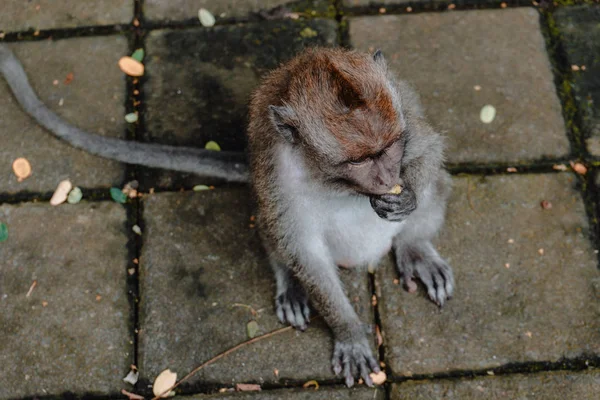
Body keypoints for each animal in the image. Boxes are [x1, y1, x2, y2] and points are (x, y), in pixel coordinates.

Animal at [0, 43, 452, 388]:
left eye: (390, 146)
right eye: (358, 160)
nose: (389, 177)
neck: (335, 181)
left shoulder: (407, 116)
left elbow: (429, 152)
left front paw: (407, 196)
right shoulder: (277, 171)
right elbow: (301, 247)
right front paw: (350, 333)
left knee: (436, 186)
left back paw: (414, 247)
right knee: (273, 228)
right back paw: (290, 281)